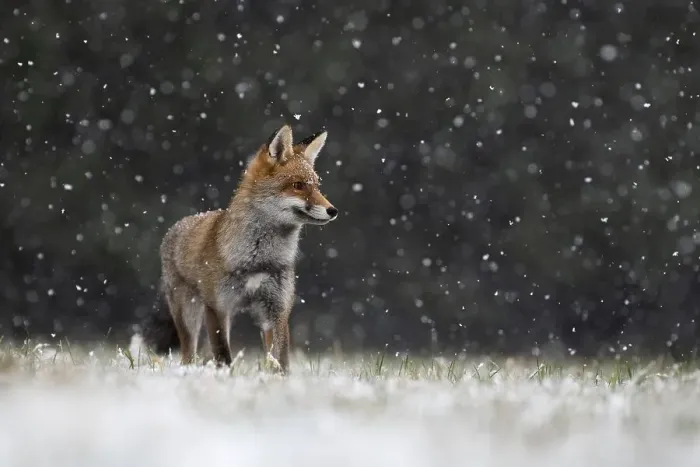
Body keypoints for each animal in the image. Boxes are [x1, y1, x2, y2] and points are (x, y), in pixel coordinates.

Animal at [157, 124, 337, 374]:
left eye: (317, 186)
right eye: (298, 185)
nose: (333, 210)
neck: (259, 260)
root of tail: (177, 226)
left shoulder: (277, 309)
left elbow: (280, 357)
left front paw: (282, 378)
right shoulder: (216, 307)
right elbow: (223, 355)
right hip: (189, 313)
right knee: (188, 355)